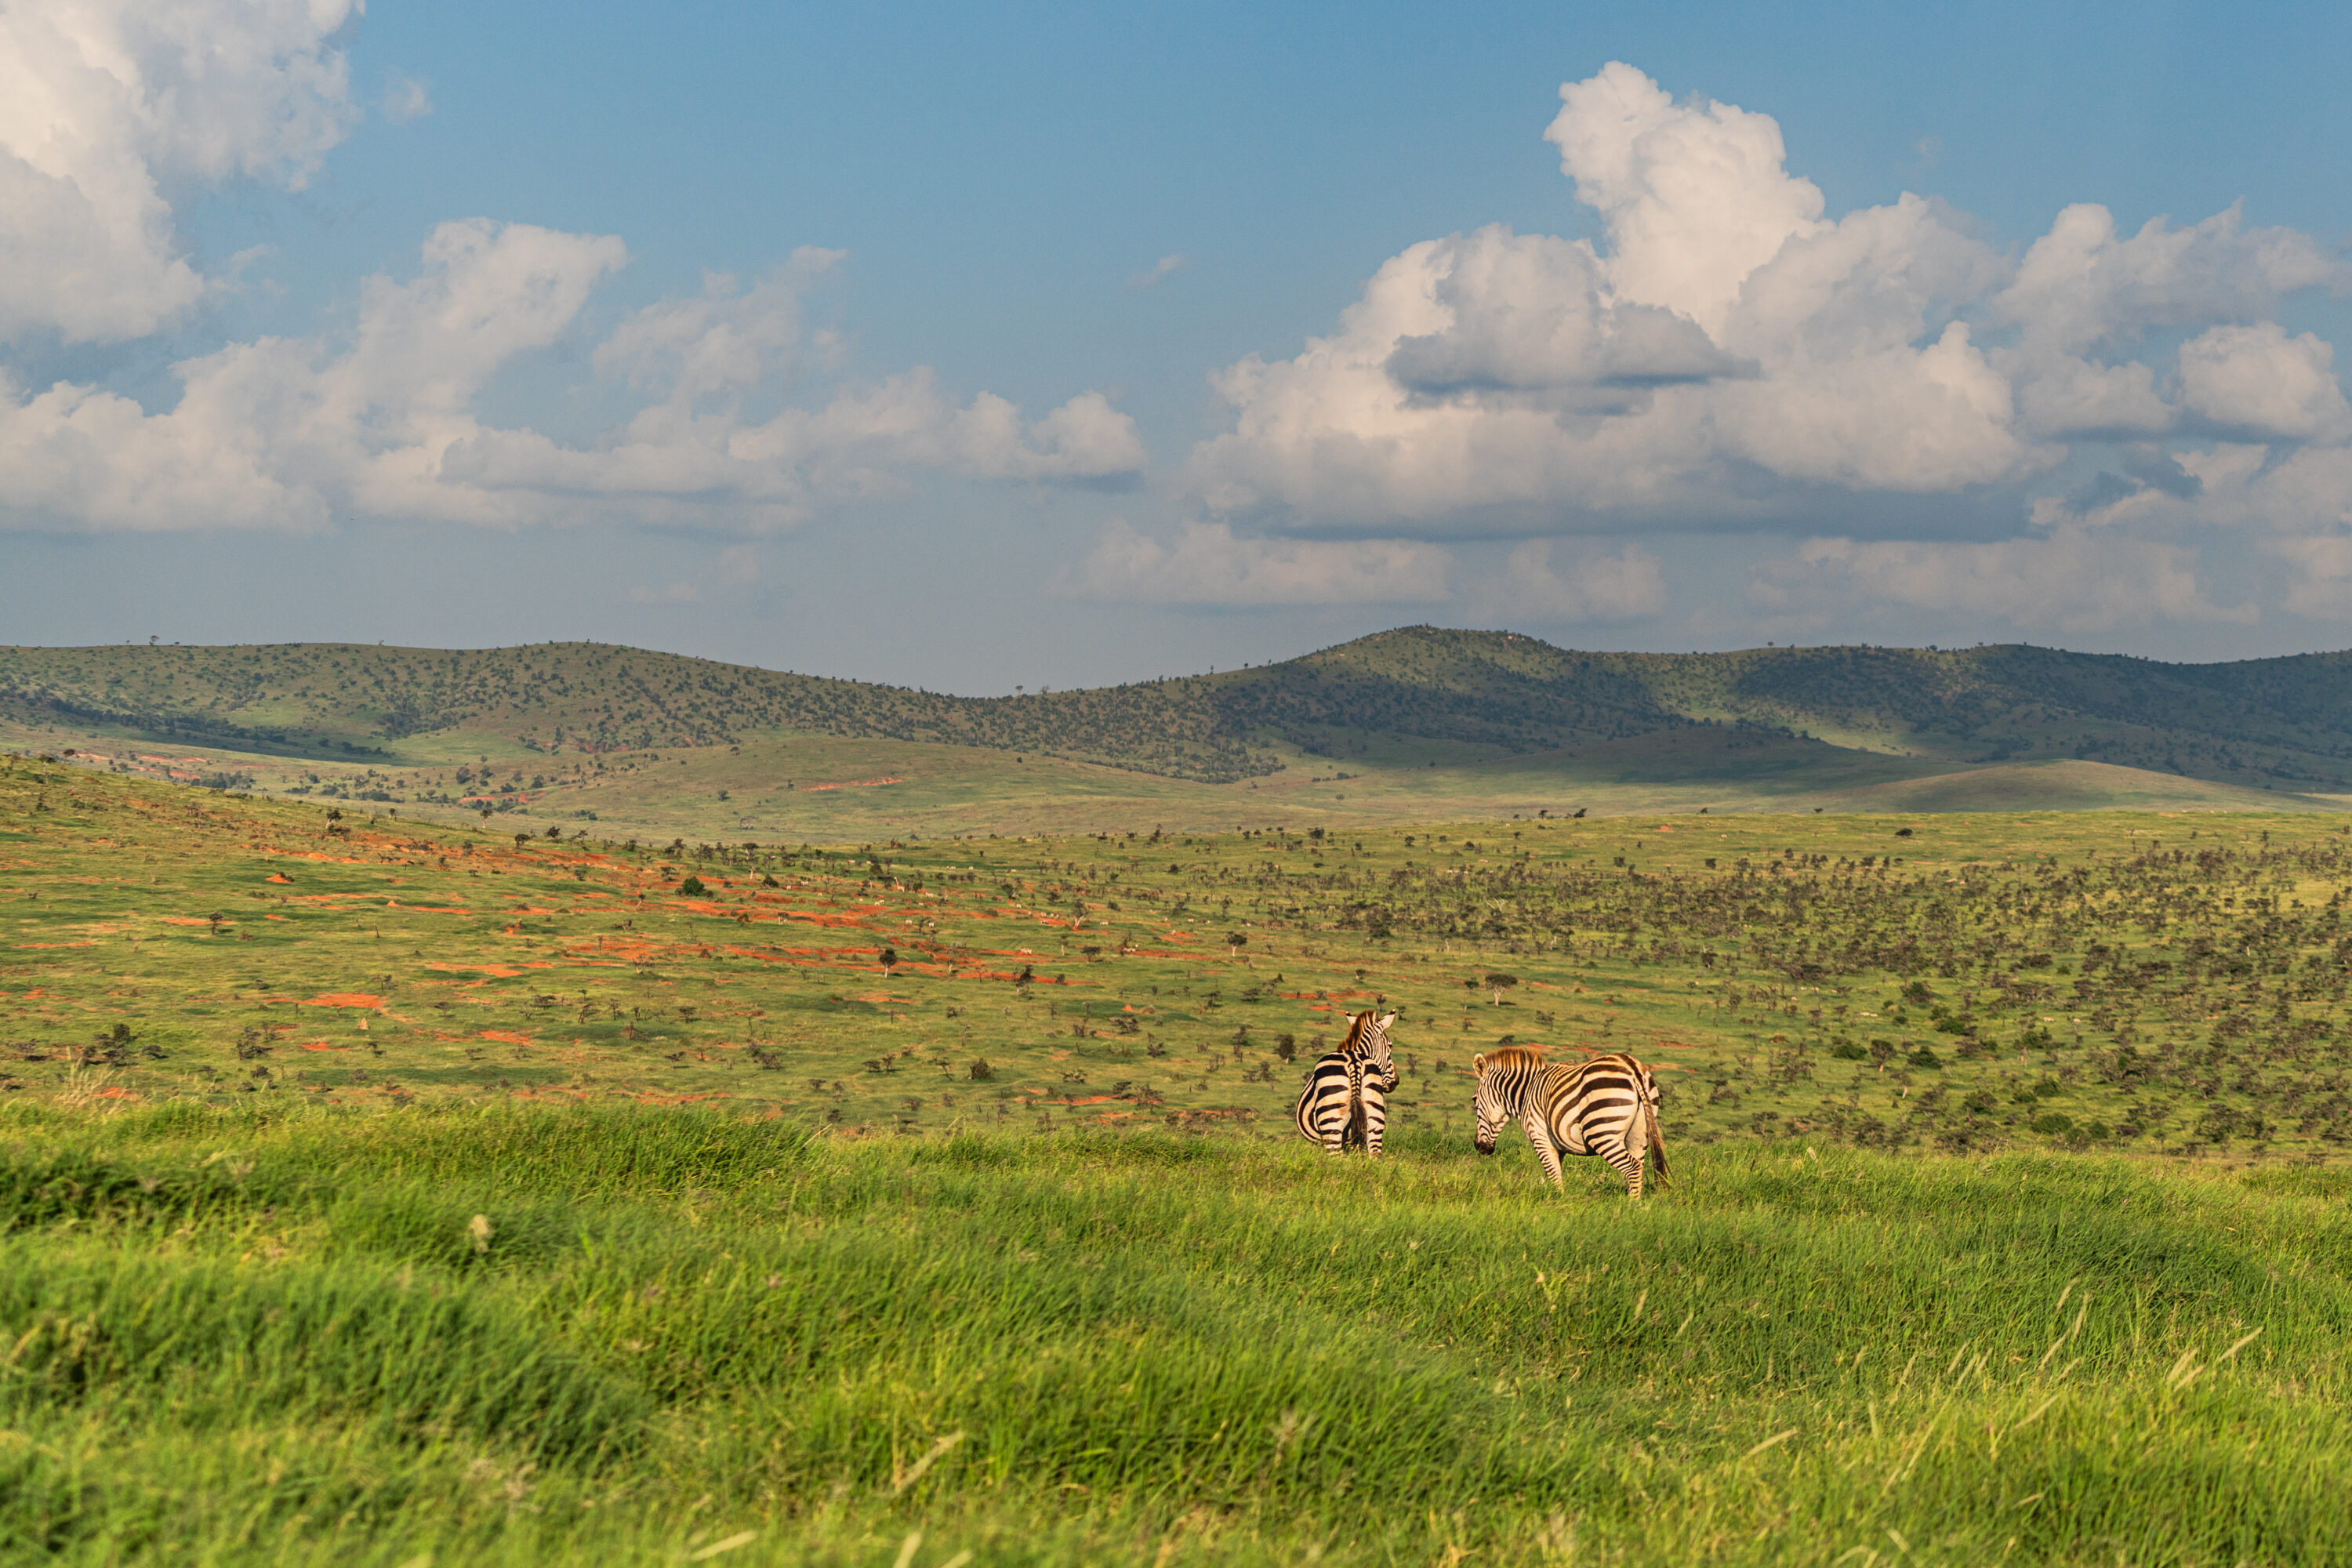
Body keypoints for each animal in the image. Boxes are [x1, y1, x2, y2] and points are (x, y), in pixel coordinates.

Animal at [1471, 1046, 1667, 1197]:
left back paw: (1631, 1208)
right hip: (1639, 1134)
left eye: (1474, 1100)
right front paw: (1548, 1198)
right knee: (1638, 1167)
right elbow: (1549, 1175)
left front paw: (1558, 1203)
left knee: (1632, 1168)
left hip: (1602, 1133)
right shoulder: (1557, 1145)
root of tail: (1632, 1068)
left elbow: (1554, 1175)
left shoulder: (1540, 1137)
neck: (1526, 1091)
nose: (1479, 1147)